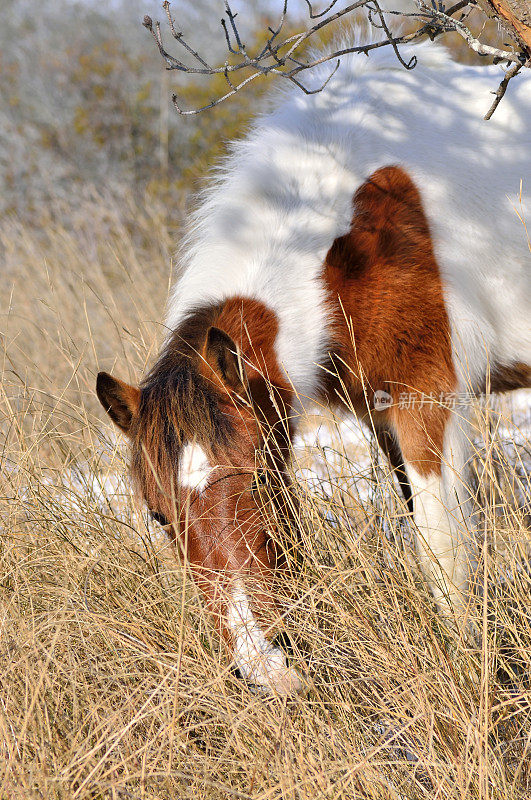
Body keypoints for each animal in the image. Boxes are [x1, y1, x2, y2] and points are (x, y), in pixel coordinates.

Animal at [97, 39, 528, 692]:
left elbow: (442, 551)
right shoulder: (380, 415)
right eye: (159, 516)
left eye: (262, 479)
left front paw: (469, 670)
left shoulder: (427, 402)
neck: (352, 242)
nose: (266, 668)